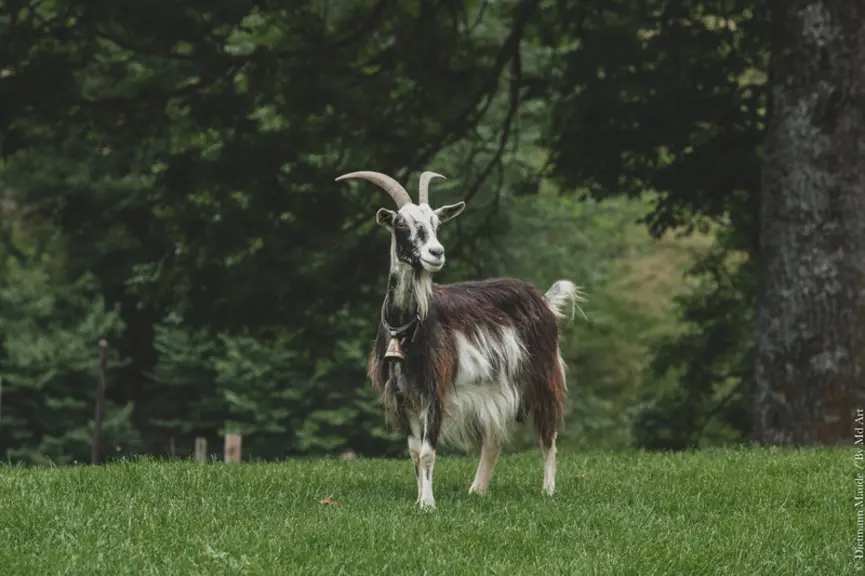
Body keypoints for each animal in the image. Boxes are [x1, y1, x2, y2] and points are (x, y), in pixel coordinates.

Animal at [335, 170, 584, 509]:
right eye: (402, 223)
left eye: (436, 223)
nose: (436, 253)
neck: (405, 328)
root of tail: (543, 300)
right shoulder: (402, 394)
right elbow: (414, 452)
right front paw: (420, 497)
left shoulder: (434, 390)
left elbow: (428, 453)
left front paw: (428, 505)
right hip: (493, 386)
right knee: (494, 440)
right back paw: (477, 490)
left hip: (542, 375)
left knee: (548, 436)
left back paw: (548, 491)